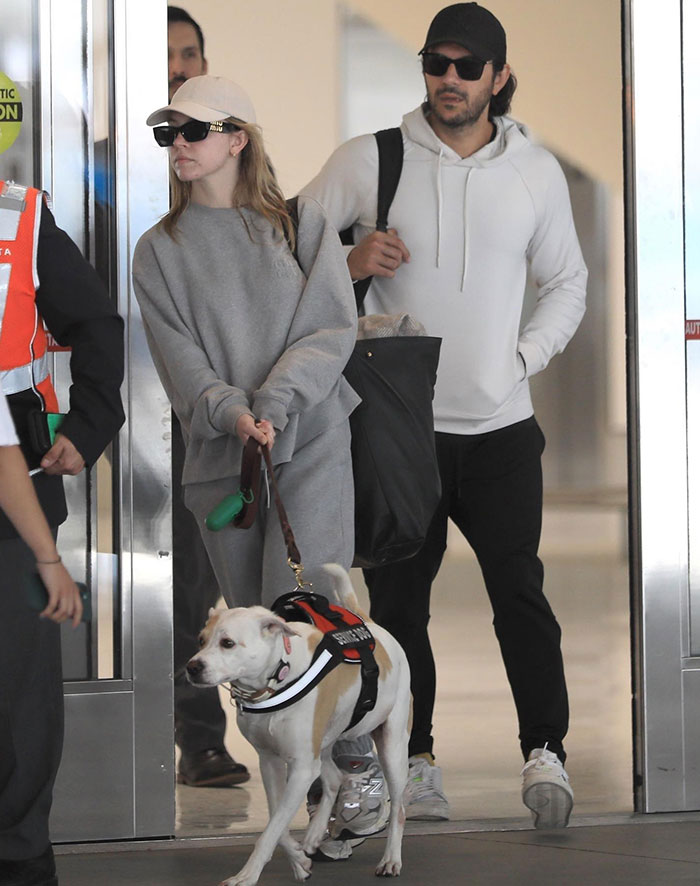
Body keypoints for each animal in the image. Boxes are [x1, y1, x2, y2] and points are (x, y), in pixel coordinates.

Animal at [189, 564, 412, 884]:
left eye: (227, 643)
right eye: (201, 640)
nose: (192, 667)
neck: (276, 677)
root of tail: (372, 626)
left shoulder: (301, 767)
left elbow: (270, 831)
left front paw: (247, 875)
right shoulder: (271, 762)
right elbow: (277, 823)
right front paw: (298, 860)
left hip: (392, 746)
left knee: (398, 810)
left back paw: (391, 859)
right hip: (324, 743)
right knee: (334, 778)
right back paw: (315, 834)